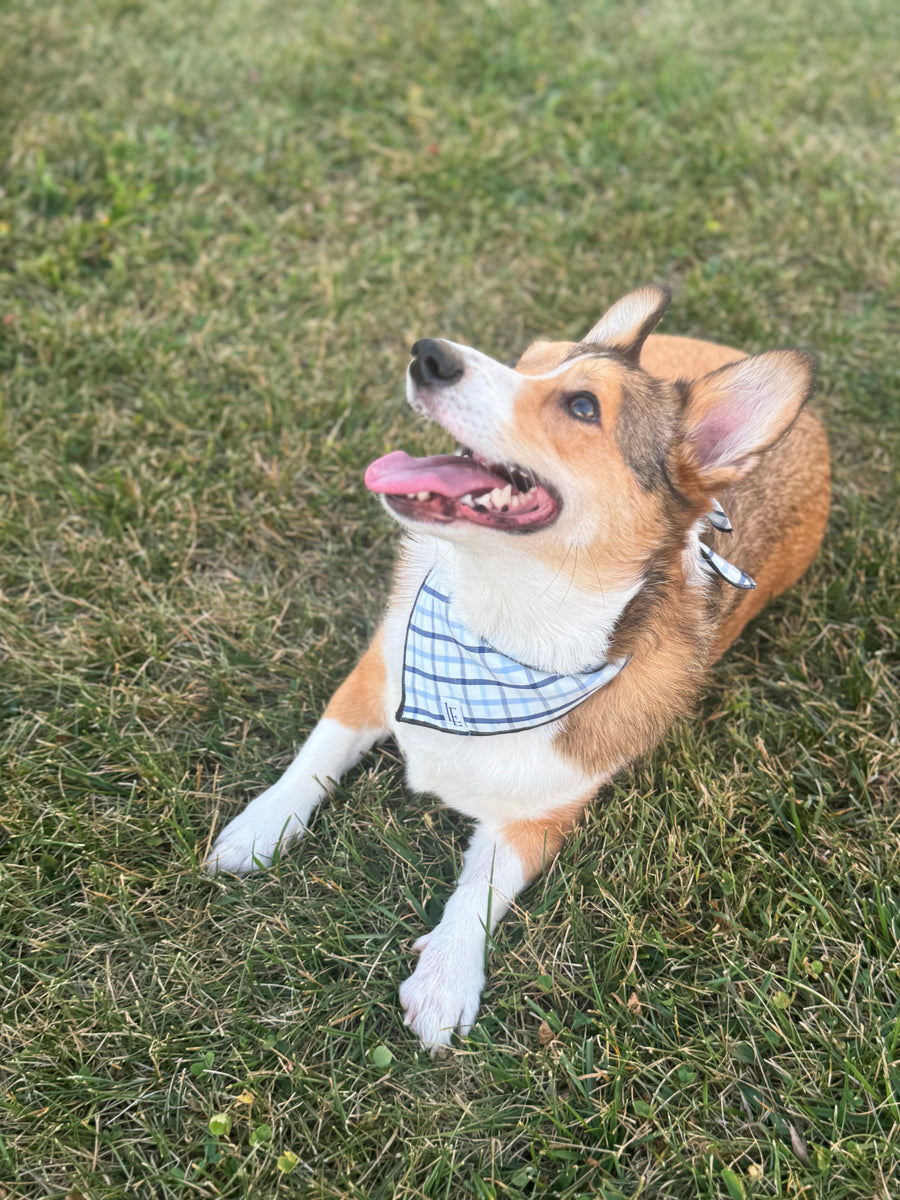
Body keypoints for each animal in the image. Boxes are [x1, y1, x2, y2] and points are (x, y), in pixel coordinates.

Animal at [206, 283, 830, 1051]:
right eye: (524, 362)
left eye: (583, 406)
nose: (428, 355)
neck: (495, 636)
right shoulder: (374, 675)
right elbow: (315, 757)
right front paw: (259, 828)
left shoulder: (539, 816)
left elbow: (480, 891)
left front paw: (446, 977)